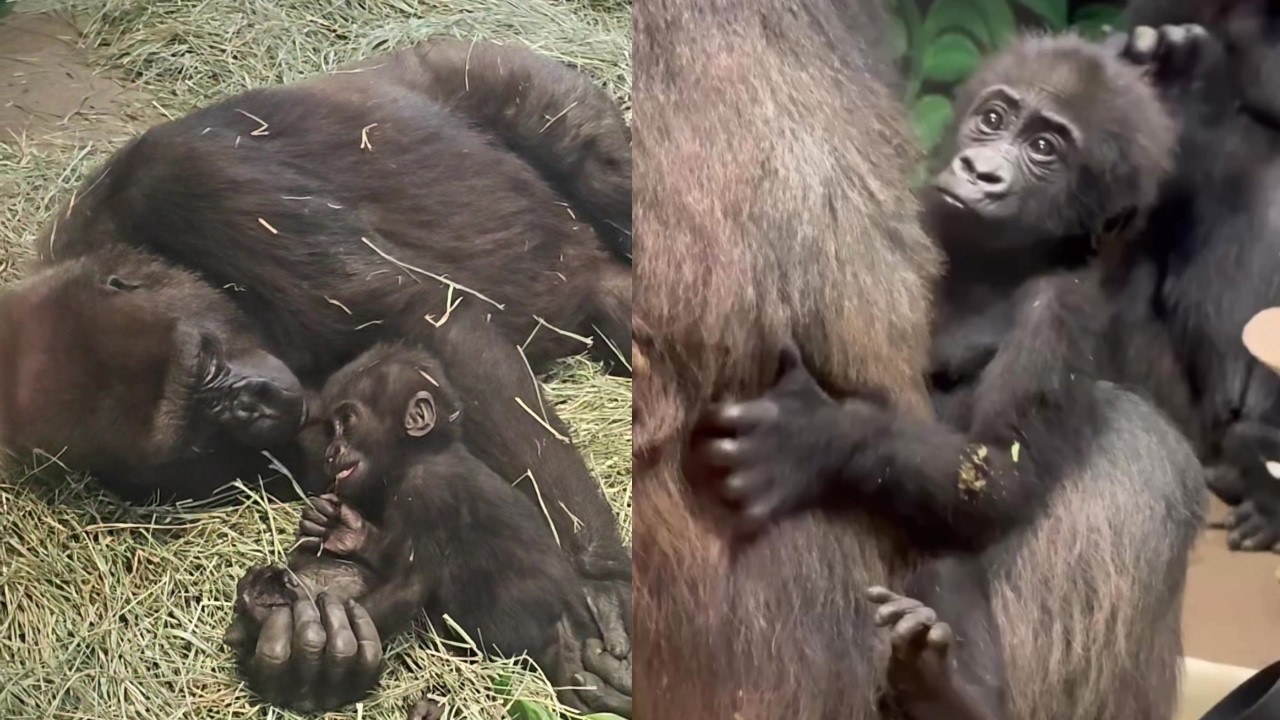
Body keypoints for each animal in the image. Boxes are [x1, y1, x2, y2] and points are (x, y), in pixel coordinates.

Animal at [633, 3, 1204, 719]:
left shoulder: (1061, 310)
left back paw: (953, 693)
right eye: (994, 118)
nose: (981, 170)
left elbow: (994, 473)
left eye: (1045, 149)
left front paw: (817, 437)